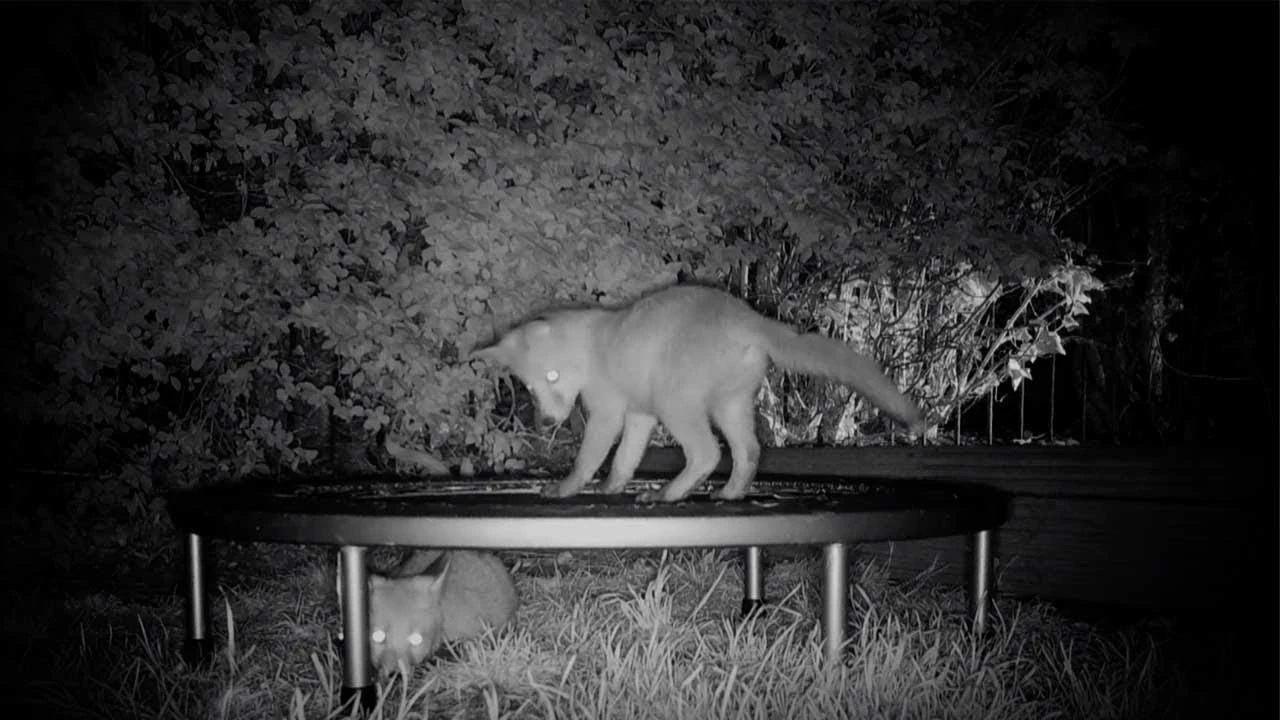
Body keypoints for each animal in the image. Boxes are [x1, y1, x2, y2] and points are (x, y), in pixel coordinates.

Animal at [471, 284, 926, 503]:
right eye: (530, 386)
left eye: (552, 376)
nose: (546, 421)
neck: (595, 346)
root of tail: (749, 319)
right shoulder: (640, 414)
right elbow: (625, 458)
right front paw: (612, 487)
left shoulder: (611, 411)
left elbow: (590, 458)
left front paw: (567, 488)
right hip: (730, 404)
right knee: (748, 451)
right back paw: (730, 494)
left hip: (679, 403)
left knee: (708, 453)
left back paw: (668, 494)